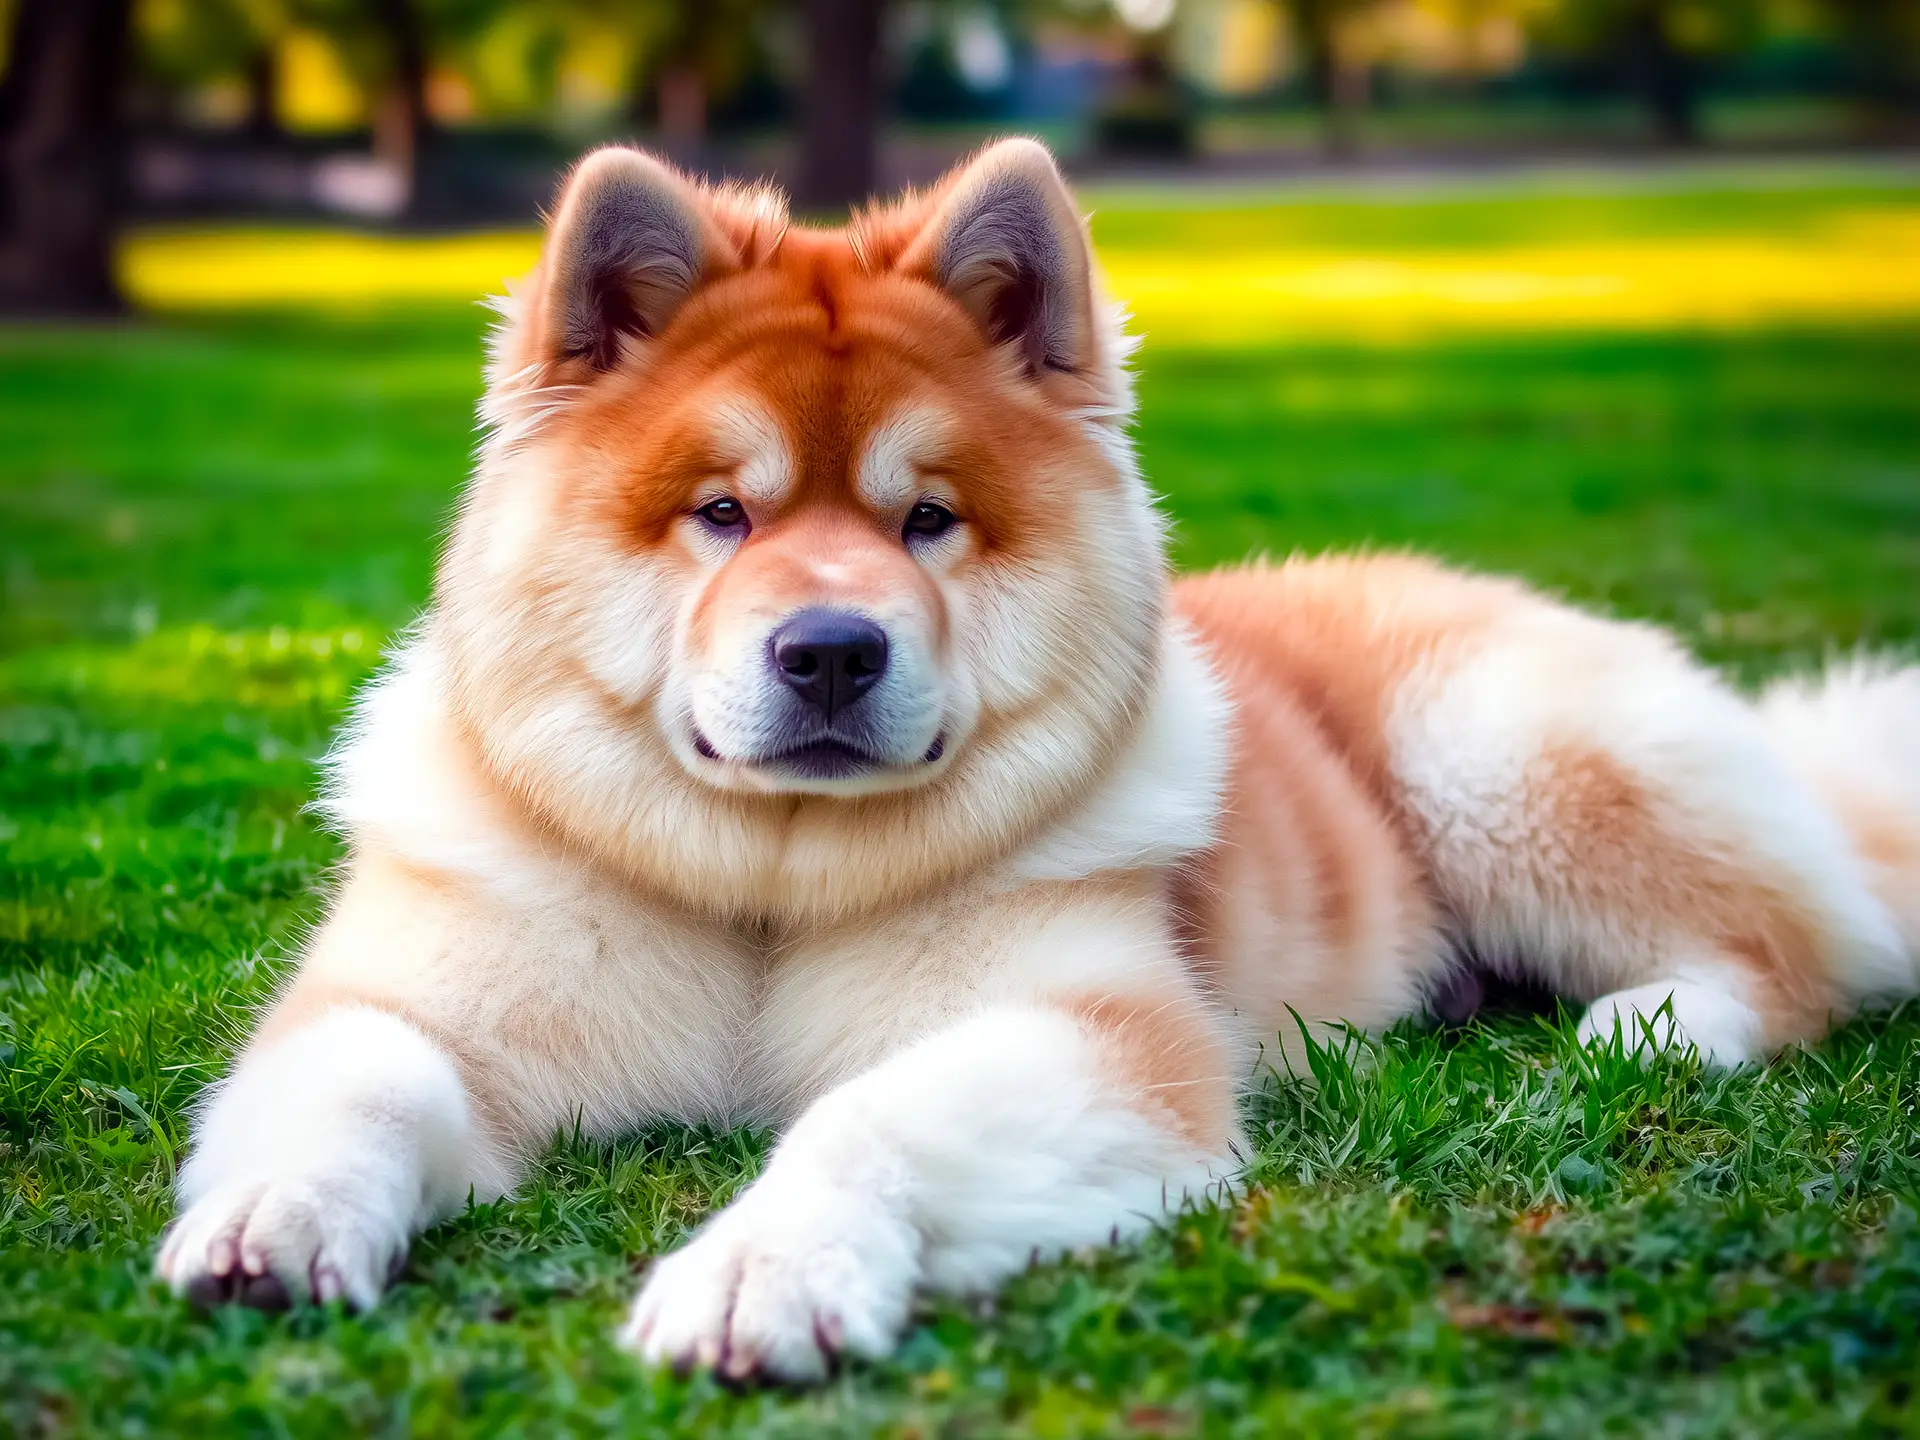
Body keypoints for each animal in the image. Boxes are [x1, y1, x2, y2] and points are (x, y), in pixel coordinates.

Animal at [161, 138, 1920, 1390]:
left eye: (928, 519)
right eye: (720, 513)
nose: (829, 650)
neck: (765, 888)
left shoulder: (1094, 1034)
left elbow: (863, 1120)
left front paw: (759, 1276)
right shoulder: (419, 996)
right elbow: (358, 1079)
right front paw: (267, 1223)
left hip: (1492, 752)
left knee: (1795, 952)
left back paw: (1641, 1029)